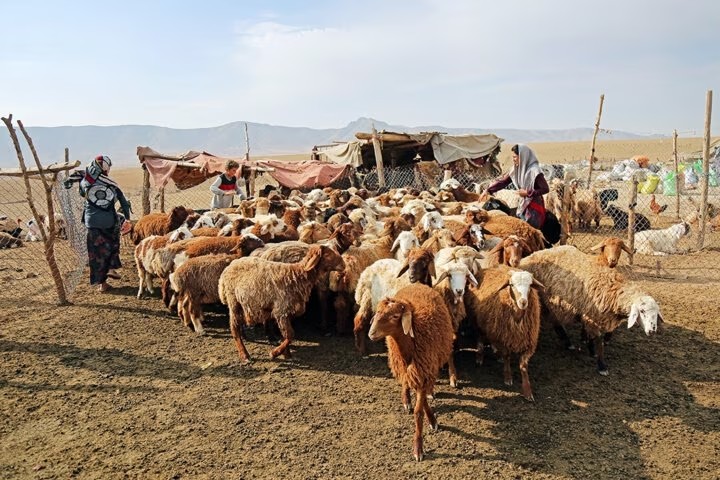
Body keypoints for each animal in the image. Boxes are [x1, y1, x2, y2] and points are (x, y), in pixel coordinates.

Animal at [368, 284, 452, 464]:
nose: (371, 333)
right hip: (400, 366)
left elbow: (419, 411)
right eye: (377, 312)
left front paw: (419, 447)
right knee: (405, 382)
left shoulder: (423, 371)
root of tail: (417, 284)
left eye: (395, 316)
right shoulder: (415, 370)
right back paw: (406, 399)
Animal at [464, 266, 544, 402]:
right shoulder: (504, 339)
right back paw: (479, 357)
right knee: (480, 337)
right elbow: (507, 357)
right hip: (476, 319)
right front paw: (508, 378)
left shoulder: (528, 342)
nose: (523, 302)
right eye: (511, 285)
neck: (518, 319)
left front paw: (527, 391)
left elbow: (523, 366)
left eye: (530, 285)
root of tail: (487, 268)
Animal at [516, 244, 664, 376]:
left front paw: (591, 348)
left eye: (656, 313)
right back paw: (568, 342)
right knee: (555, 323)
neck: (613, 291)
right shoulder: (592, 316)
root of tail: (528, 258)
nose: (652, 331)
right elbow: (599, 341)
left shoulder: (590, 315)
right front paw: (601, 365)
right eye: (642, 311)